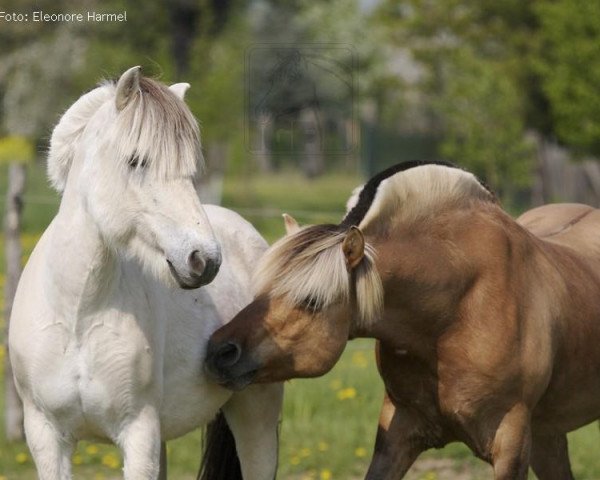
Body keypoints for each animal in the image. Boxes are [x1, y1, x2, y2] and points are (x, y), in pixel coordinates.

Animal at [8, 64, 282, 480]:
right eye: (137, 161)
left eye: (189, 169)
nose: (205, 260)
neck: (77, 312)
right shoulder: (46, 438)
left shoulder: (139, 434)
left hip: (257, 415)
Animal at [205, 162, 600, 480]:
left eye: (311, 301)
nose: (219, 352)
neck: (454, 313)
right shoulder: (399, 433)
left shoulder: (511, 442)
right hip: (548, 435)